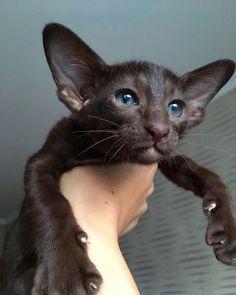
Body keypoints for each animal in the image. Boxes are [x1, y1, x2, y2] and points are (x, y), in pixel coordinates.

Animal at [2, 23, 236, 295]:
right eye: (126, 98)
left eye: (176, 108)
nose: (159, 130)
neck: (106, 156)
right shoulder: (42, 159)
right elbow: (49, 203)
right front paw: (66, 272)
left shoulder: (167, 157)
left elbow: (206, 173)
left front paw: (226, 227)